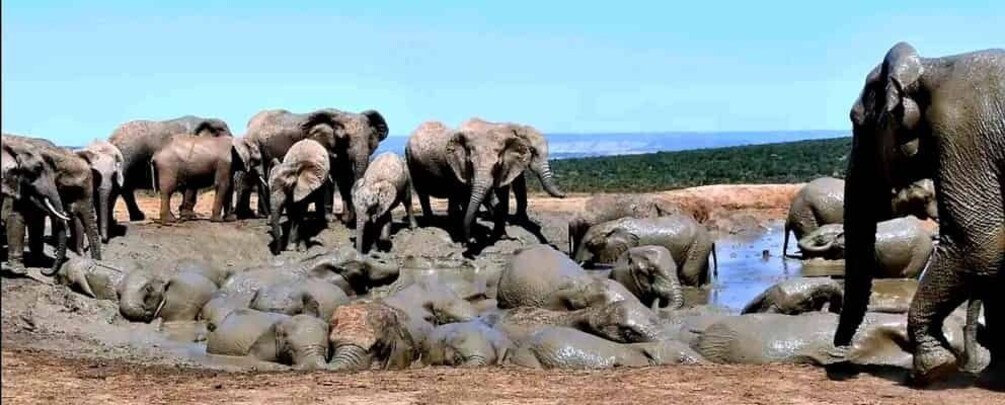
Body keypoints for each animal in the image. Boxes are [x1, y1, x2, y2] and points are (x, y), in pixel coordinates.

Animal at [1, 136, 69, 275]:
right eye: (37, 170)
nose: (45, 270)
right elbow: (15, 218)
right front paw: (19, 271)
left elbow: (36, 221)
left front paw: (40, 261)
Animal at [237, 108, 389, 223]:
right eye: (344, 138)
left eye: (369, 138)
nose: (347, 219)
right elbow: (328, 178)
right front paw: (330, 219)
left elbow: (344, 178)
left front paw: (345, 219)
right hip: (256, 145)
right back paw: (264, 216)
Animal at [834, 42, 1004, 386]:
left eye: (857, 123)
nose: (839, 355)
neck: (933, 66)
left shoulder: (964, 133)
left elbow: (978, 241)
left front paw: (932, 369)